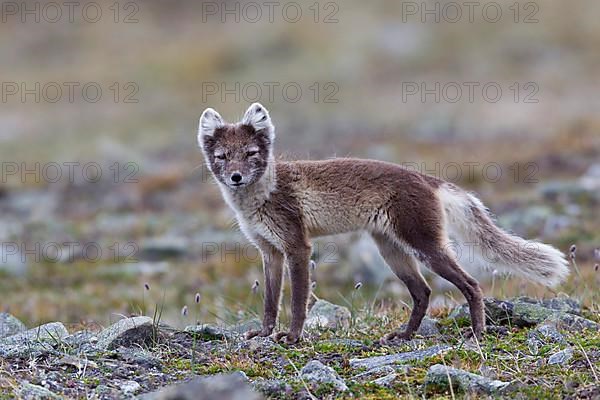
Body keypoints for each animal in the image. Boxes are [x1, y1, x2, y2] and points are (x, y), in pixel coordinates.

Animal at [197, 102, 568, 344]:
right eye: (222, 157)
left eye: (250, 154)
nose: (235, 177)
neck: (264, 195)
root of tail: (427, 179)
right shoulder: (269, 252)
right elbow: (270, 301)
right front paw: (263, 333)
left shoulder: (297, 246)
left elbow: (298, 301)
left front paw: (293, 336)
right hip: (392, 251)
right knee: (424, 292)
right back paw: (404, 335)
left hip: (425, 246)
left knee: (471, 284)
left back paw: (477, 332)